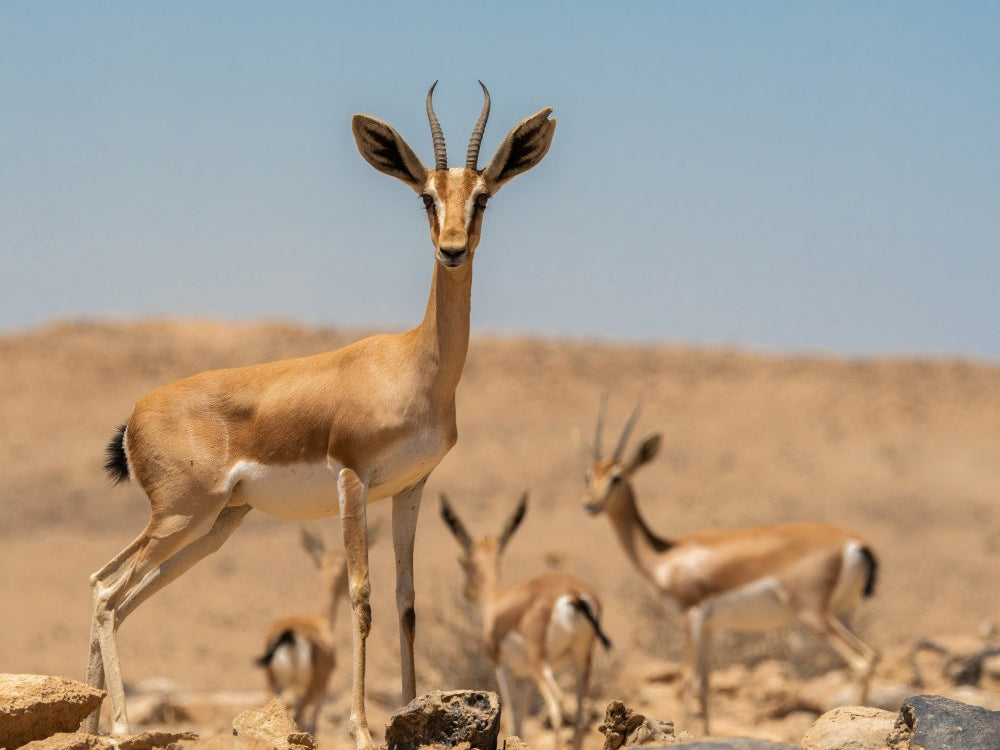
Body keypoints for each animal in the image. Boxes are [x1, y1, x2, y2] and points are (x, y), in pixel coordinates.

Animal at [255, 526, 349, 735]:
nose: (348, 593)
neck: (320, 622)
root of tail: (290, 635)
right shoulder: (321, 692)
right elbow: (314, 725)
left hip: (273, 685)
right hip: (307, 691)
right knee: (300, 718)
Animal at [440, 493, 612, 750]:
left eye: (462, 561)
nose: (467, 592)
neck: (497, 602)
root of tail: (574, 594)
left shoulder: (502, 667)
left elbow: (512, 717)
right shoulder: (527, 677)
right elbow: (520, 721)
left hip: (540, 662)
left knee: (556, 703)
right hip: (583, 659)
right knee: (580, 713)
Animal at [577, 400, 879, 735]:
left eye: (617, 477)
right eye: (588, 475)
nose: (590, 504)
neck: (665, 553)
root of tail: (856, 543)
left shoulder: (691, 615)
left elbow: (688, 680)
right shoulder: (710, 626)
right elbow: (706, 682)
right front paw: (706, 733)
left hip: (813, 616)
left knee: (862, 659)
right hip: (844, 613)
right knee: (870, 656)